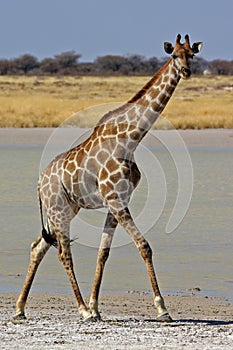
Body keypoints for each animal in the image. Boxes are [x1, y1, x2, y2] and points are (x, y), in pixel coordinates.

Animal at [14, 34, 202, 322]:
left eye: (191, 55)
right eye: (174, 55)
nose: (186, 71)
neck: (130, 140)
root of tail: (39, 182)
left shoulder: (118, 201)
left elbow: (103, 253)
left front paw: (96, 306)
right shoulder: (115, 200)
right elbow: (144, 246)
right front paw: (162, 308)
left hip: (67, 209)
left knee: (39, 246)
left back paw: (20, 308)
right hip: (58, 209)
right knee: (63, 253)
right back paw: (81, 310)